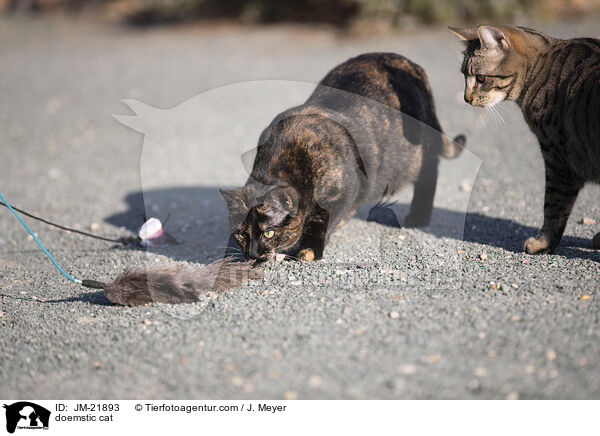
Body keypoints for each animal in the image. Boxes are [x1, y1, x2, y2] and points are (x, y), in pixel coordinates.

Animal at [220, 51, 464, 262]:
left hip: (422, 152)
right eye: (241, 234)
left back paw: (418, 217)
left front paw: (308, 251)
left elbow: (322, 221)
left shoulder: (344, 192)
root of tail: (409, 62)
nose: (252, 253)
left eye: (269, 233)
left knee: (429, 177)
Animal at [452, 25, 596, 254]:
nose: (466, 98)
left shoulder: (558, 162)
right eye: (464, 76)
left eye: (481, 78)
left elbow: (553, 206)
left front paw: (542, 243)